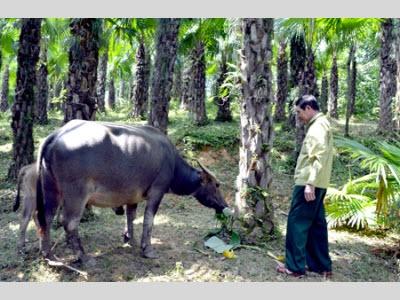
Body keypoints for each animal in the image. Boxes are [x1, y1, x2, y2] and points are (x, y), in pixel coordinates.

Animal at [36, 119, 230, 262]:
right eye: (217, 185)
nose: (224, 205)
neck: (172, 164)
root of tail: (57, 134)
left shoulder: (132, 196)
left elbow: (131, 216)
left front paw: (130, 239)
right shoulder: (157, 192)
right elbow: (148, 220)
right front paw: (147, 249)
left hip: (51, 190)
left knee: (46, 218)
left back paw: (48, 254)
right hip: (76, 195)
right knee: (69, 222)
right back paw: (83, 257)